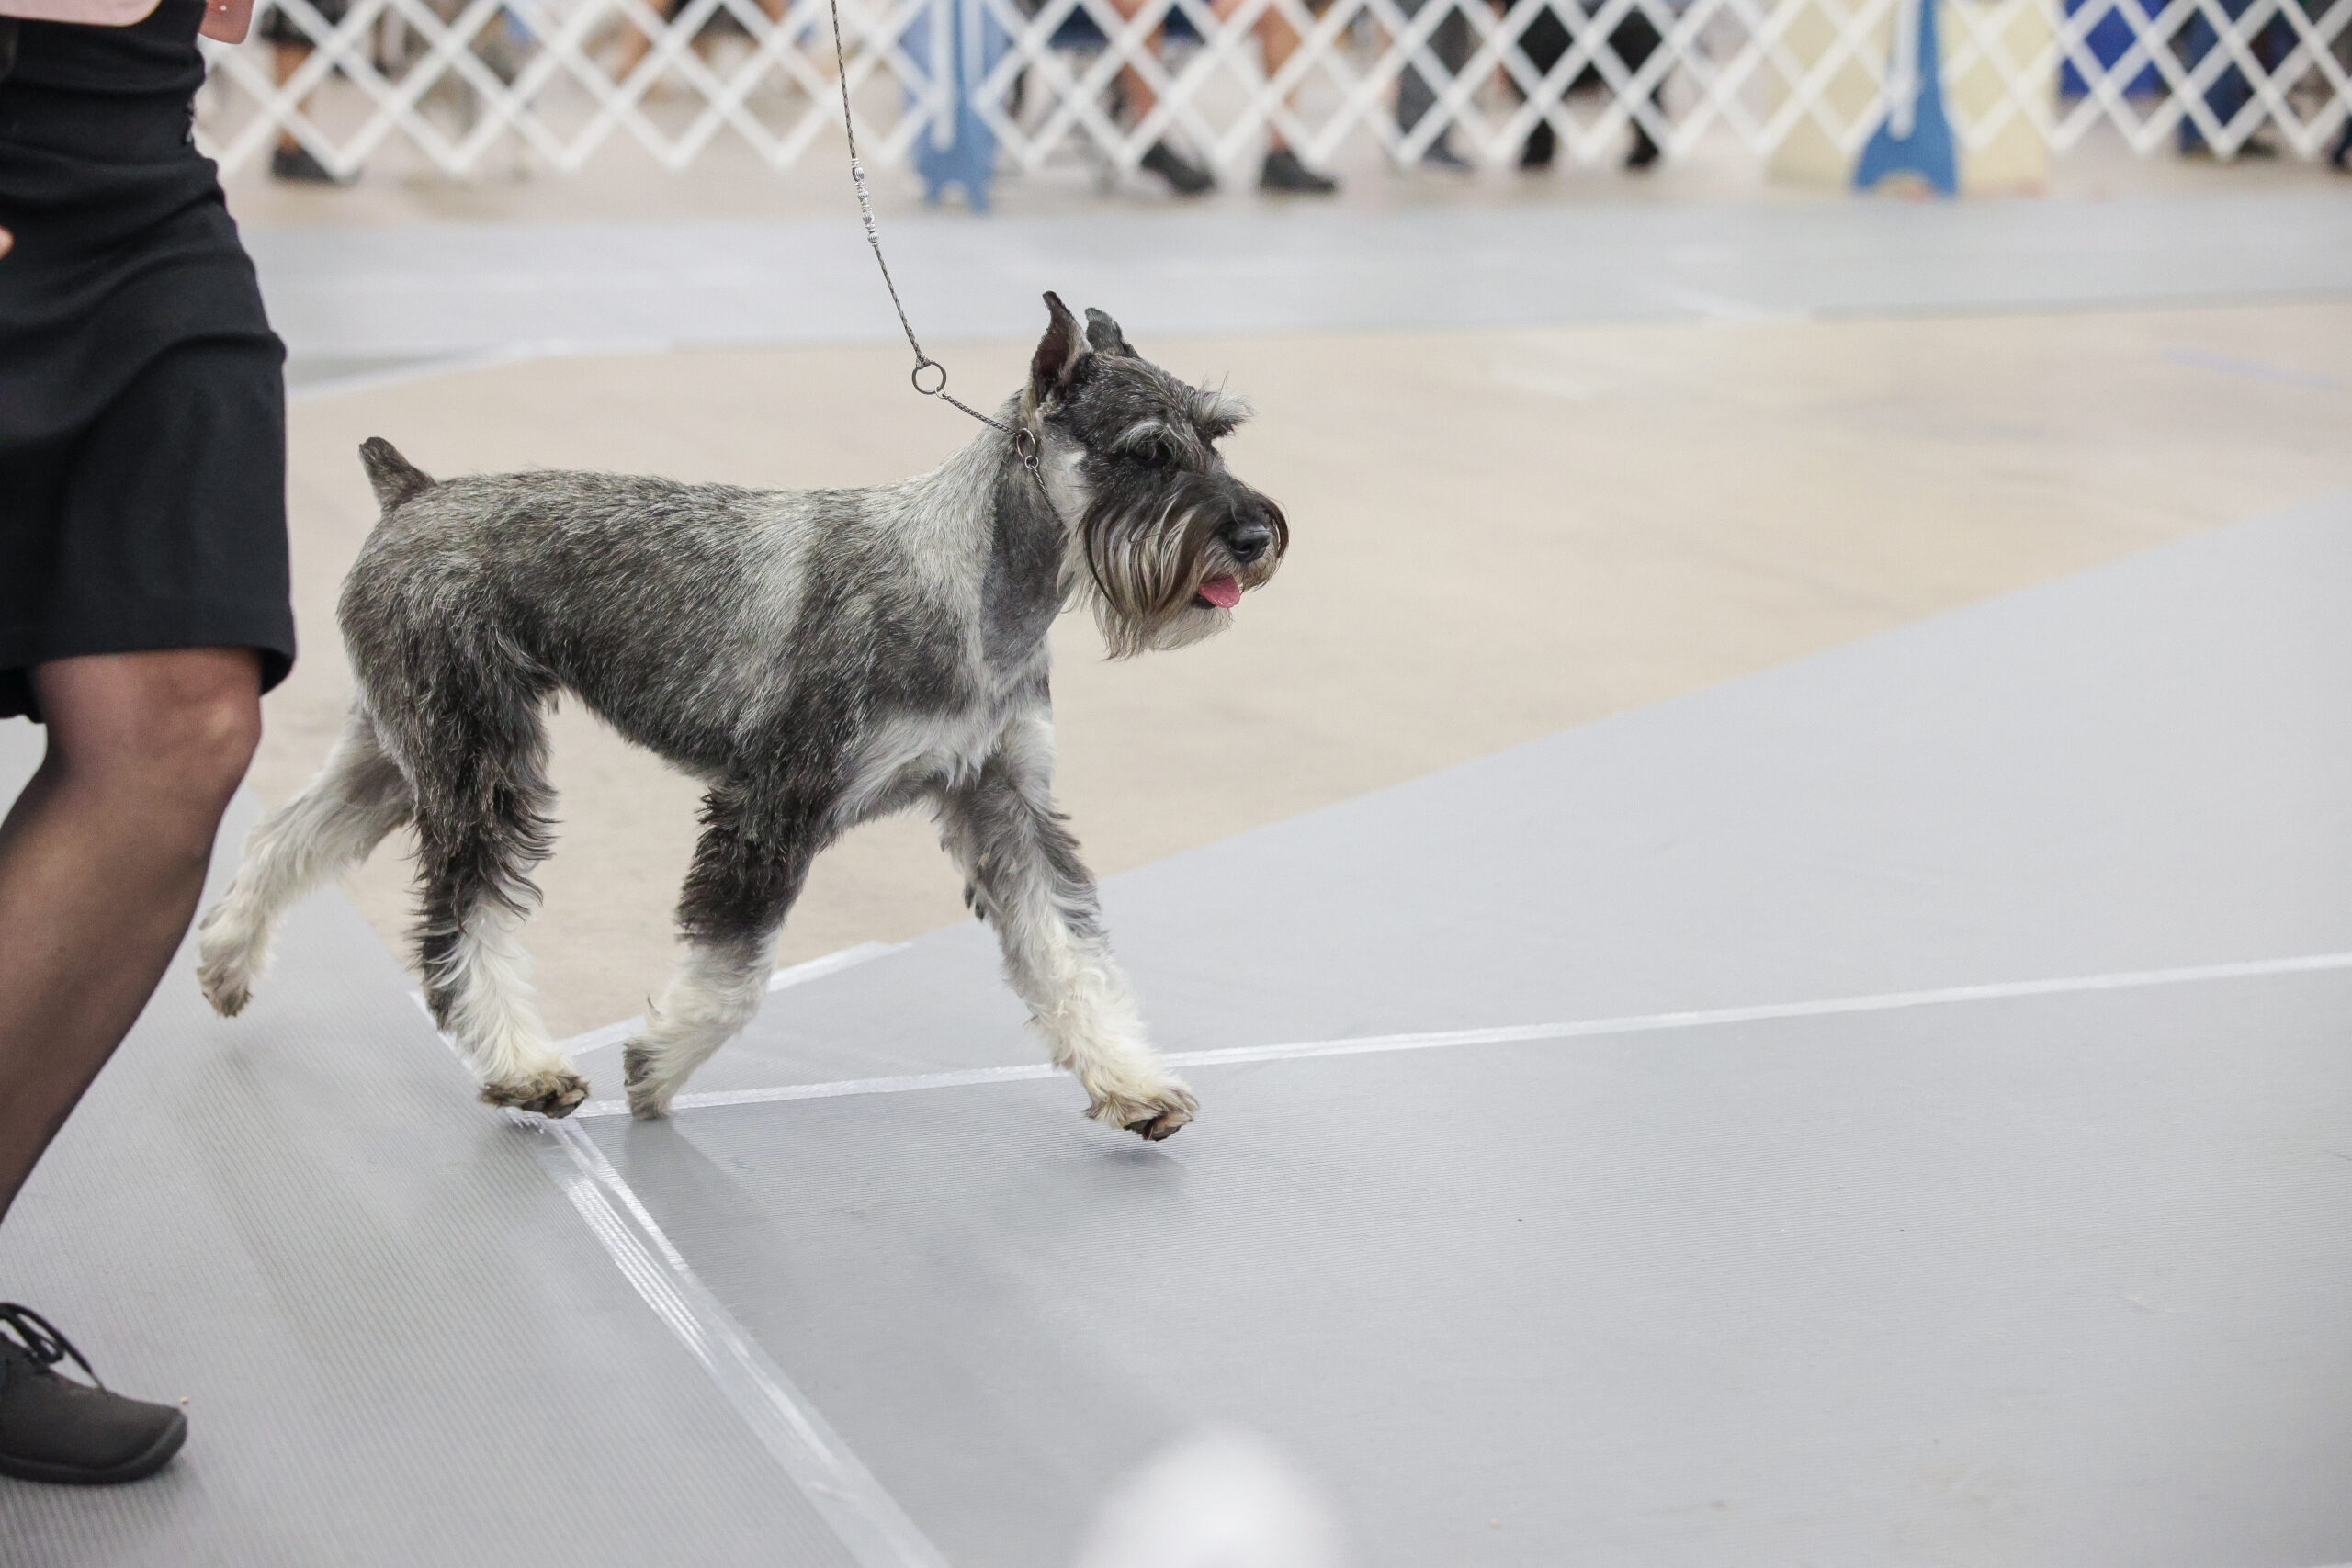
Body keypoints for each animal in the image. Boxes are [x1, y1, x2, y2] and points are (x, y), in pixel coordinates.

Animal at [195, 294, 1287, 1137]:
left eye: (1217, 435)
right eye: (1145, 452)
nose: (1255, 534)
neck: (971, 588)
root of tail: (410, 495)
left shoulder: (1006, 801)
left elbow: (1068, 950)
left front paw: (1132, 1081)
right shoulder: (773, 802)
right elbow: (732, 976)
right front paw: (655, 1067)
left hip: (402, 745)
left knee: (289, 834)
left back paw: (226, 959)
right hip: (479, 760)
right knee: (463, 912)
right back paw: (522, 1067)